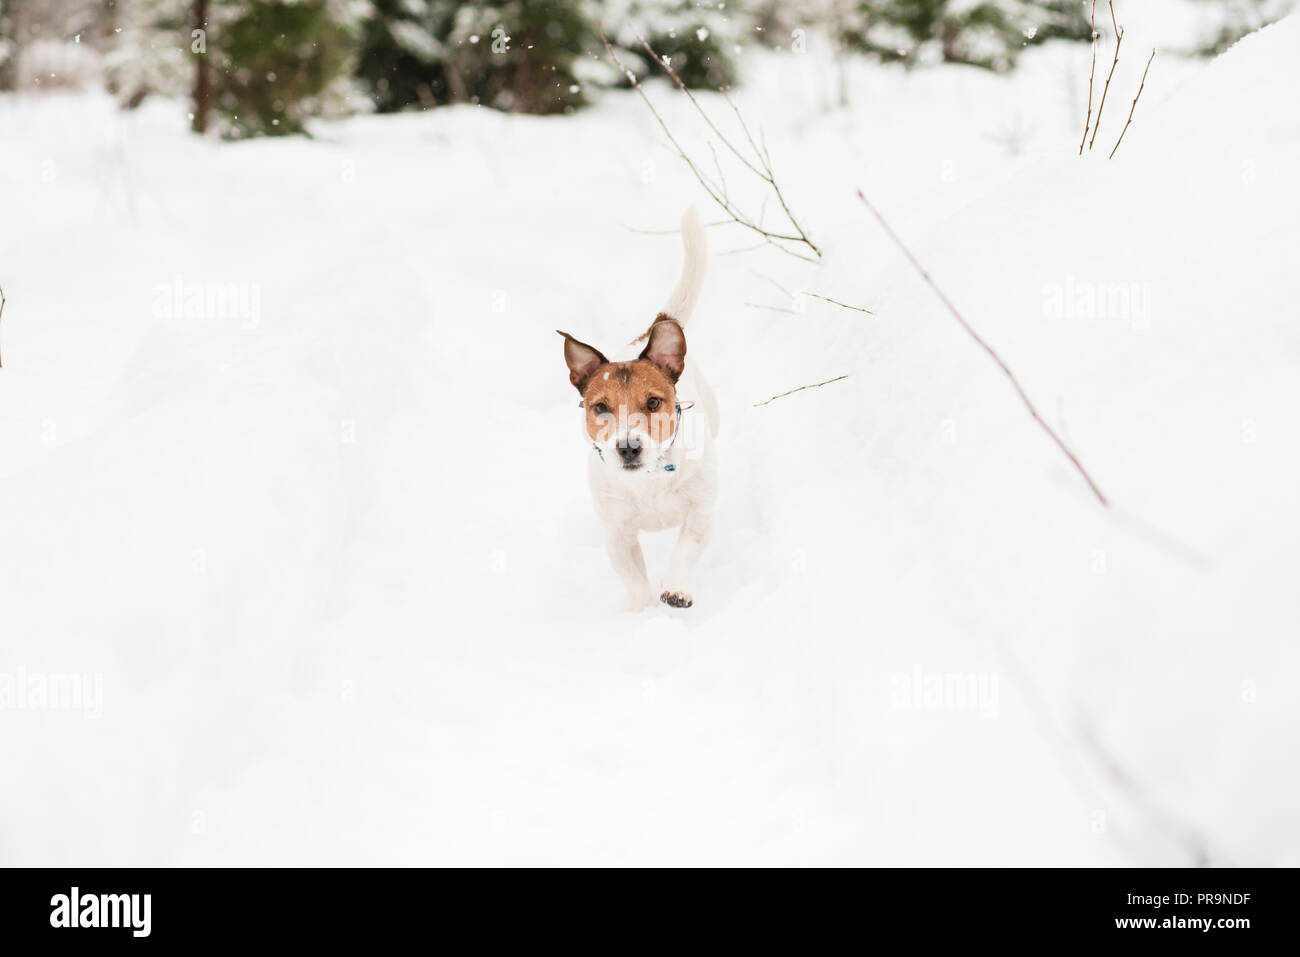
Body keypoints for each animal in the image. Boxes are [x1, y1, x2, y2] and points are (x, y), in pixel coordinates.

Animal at [553, 210, 717, 613]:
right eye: (600, 407)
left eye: (654, 402)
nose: (628, 447)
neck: (651, 476)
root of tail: (645, 337)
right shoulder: (617, 533)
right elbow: (632, 576)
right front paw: (642, 612)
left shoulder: (701, 510)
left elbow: (687, 548)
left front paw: (676, 588)